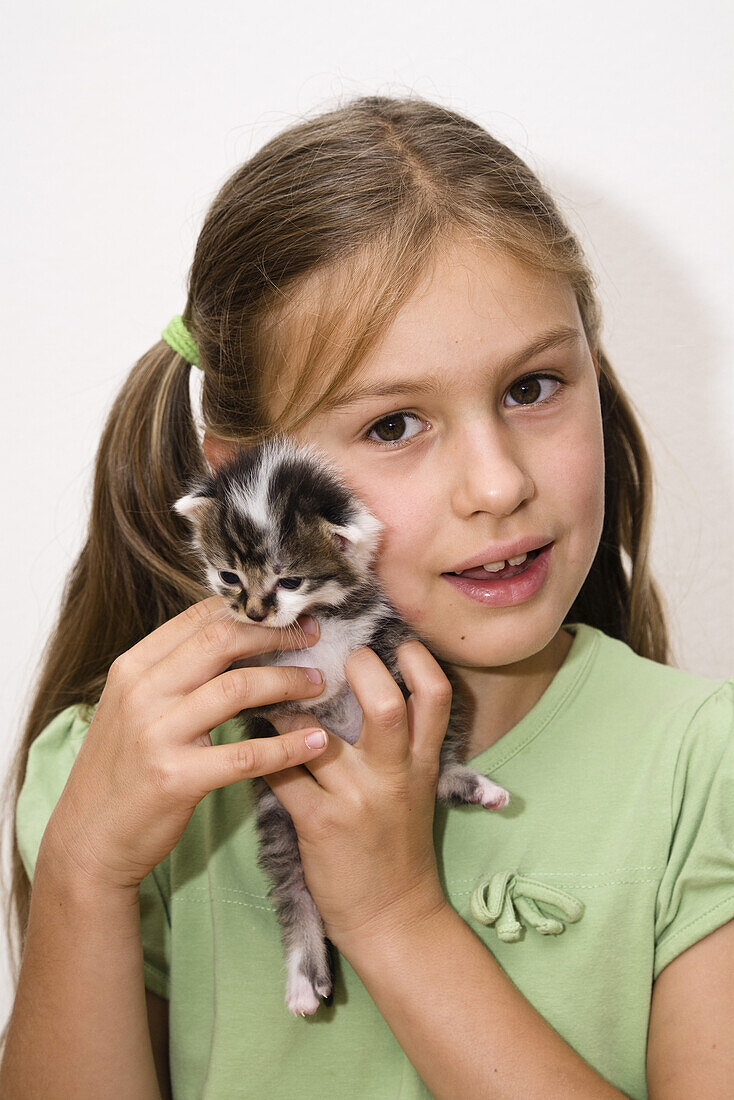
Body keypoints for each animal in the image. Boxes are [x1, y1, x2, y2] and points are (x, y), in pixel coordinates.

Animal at [176, 433, 510, 1016]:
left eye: (290, 580)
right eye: (228, 576)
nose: (256, 613)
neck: (318, 619)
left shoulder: (386, 637)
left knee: (439, 769)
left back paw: (473, 786)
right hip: (276, 811)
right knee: (292, 888)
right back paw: (302, 976)